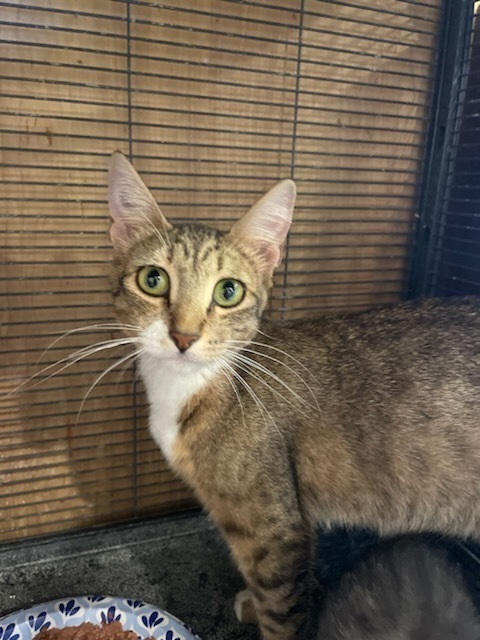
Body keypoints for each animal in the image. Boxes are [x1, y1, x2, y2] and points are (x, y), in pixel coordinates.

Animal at [107, 152, 480, 636]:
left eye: (228, 291)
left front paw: (262, 613)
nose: (183, 336)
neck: (190, 387)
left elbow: (279, 605)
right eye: (153, 279)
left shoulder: (274, 529)